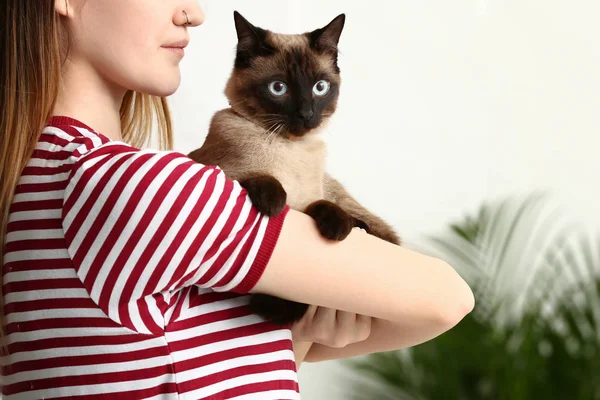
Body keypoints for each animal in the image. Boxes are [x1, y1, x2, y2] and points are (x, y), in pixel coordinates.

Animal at [190, 10, 400, 326]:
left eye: (319, 87)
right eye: (278, 88)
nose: (306, 114)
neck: (290, 150)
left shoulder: (308, 201)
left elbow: (321, 205)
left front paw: (337, 228)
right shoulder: (219, 169)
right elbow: (258, 180)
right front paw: (273, 203)